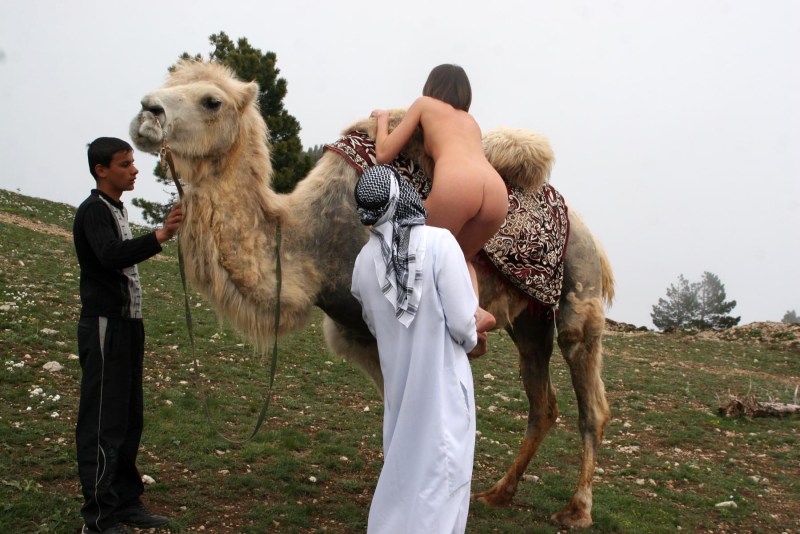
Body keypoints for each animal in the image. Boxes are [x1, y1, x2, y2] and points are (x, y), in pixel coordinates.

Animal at [130, 60, 613, 529]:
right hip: (530, 320)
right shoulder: (356, 334)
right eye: (170, 80)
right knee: (542, 403)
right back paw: (498, 493)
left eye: (211, 100)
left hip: (579, 295)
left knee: (590, 404)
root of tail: (587, 230)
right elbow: (392, 412)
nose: (146, 111)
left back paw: (578, 510)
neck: (311, 244)